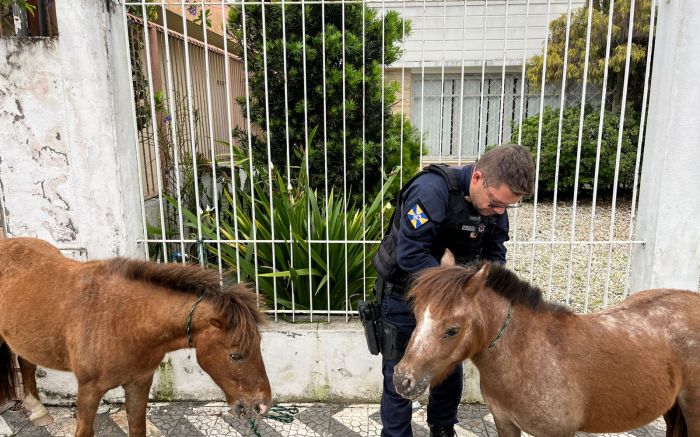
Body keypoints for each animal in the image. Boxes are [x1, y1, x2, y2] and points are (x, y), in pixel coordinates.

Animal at [0, 238, 270, 436]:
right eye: (236, 355)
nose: (262, 405)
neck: (125, 321)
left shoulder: (139, 383)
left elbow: (137, 428)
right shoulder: (88, 390)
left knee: (26, 362)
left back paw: (37, 410)